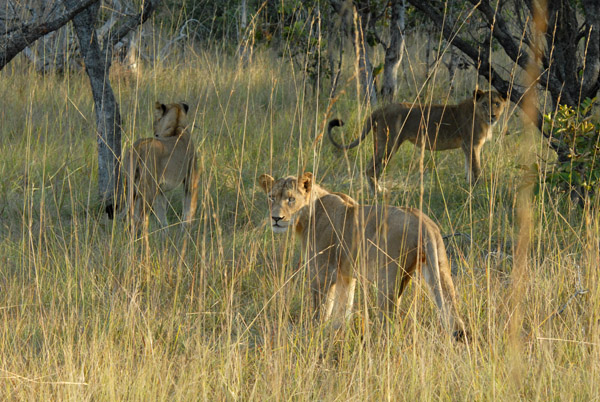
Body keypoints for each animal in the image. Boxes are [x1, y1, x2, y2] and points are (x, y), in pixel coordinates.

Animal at [108, 101, 199, 229]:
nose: (154, 132)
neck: (176, 128)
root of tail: (138, 147)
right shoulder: (191, 179)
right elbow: (189, 208)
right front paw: (187, 229)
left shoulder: (160, 189)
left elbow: (162, 215)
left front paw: (165, 233)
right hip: (148, 189)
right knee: (139, 218)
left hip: (133, 184)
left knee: (134, 215)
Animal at [260, 171, 466, 340]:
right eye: (271, 197)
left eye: (291, 199)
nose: (276, 218)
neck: (307, 216)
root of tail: (423, 221)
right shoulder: (345, 275)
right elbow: (343, 309)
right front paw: (337, 337)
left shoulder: (323, 273)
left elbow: (321, 312)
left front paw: (315, 337)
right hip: (439, 268)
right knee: (453, 313)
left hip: (387, 280)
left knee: (389, 323)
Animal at [328, 90, 506, 193]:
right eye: (485, 104)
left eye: (497, 104)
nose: (492, 116)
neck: (480, 116)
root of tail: (379, 110)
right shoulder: (472, 145)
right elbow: (476, 169)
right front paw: (478, 189)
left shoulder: (466, 147)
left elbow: (468, 168)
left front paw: (469, 187)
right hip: (389, 143)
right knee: (371, 169)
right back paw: (378, 193)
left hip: (379, 142)